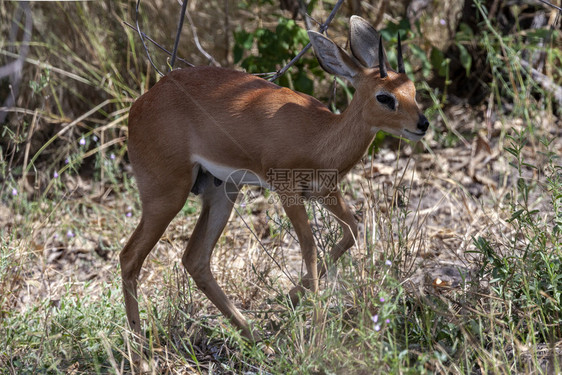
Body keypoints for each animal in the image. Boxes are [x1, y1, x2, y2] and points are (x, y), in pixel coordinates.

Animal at [120, 14, 426, 350]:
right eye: (385, 97)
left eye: (413, 90)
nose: (422, 124)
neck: (321, 137)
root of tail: (141, 103)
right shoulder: (288, 192)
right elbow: (309, 247)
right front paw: (316, 332)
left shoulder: (326, 192)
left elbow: (353, 230)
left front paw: (290, 299)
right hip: (166, 195)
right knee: (130, 257)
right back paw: (139, 348)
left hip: (222, 191)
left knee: (195, 259)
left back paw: (253, 336)